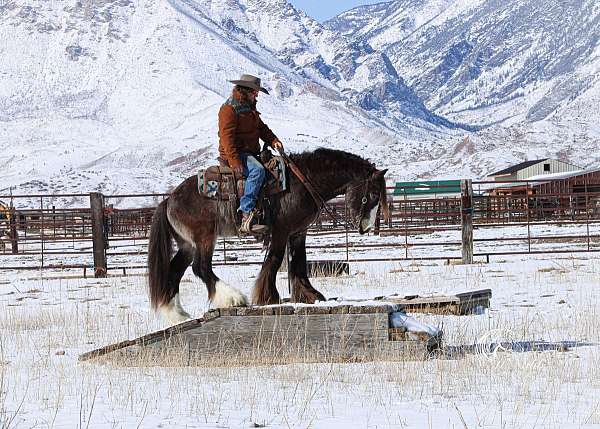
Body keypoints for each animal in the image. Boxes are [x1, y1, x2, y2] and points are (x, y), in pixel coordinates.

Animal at [148, 149, 386, 322]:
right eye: (372, 194)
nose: (366, 227)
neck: (303, 182)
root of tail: (168, 200)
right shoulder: (281, 230)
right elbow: (275, 260)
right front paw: (269, 296)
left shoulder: (298, 232)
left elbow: (299, 262)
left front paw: (310, 295)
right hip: (204, 237)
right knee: (201, 267)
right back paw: (233, 298)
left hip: (187, 244)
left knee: (175, 271)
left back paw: (176, 314)